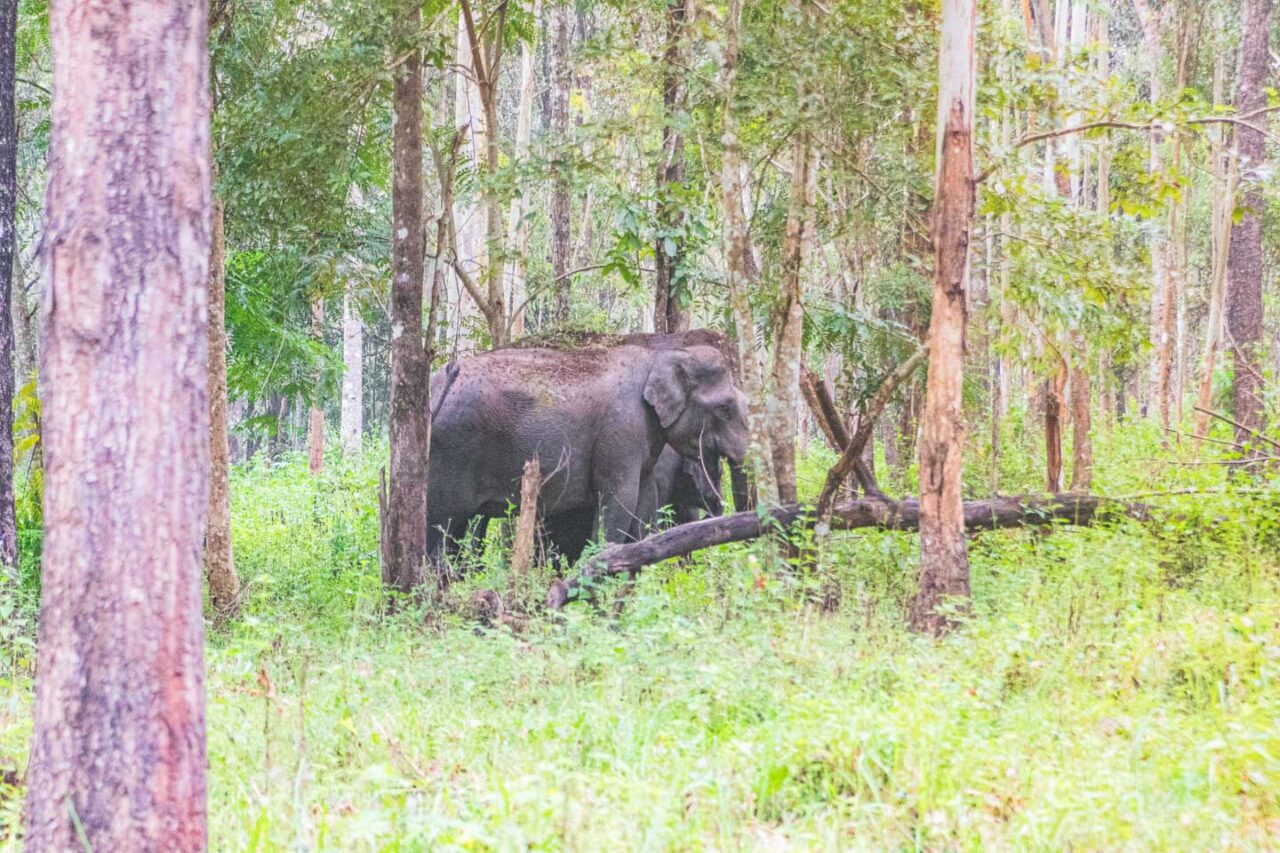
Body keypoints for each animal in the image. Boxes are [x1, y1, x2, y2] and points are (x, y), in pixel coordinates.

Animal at [427, 339, 749, 567]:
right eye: (725, 408)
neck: (657, 357)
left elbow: (644, 498)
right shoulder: (621, 432)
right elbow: (619, 498)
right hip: (451, 454)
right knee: (439, 525)